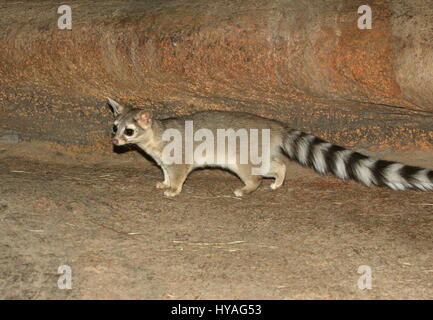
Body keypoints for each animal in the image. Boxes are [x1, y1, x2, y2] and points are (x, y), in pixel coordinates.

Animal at [105, 97, 432, 198]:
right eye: (115, 127)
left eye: (129, 130)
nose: (115, 142)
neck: (155, 135)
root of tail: (275, 126)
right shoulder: (163, 160)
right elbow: (164, 172)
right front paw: (163, 183)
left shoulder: (178, 158)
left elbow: (178, 174)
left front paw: (173, 189)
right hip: (257, 151)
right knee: (277, 164)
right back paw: (278, 179)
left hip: (240, 157)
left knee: (253, 175)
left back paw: (249, 188)